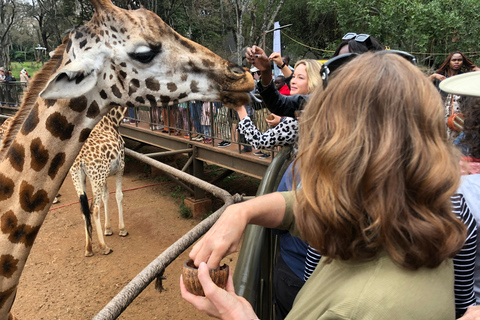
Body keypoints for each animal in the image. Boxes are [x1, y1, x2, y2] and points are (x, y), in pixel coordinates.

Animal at [69, 106, 126, 256]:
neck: (113, 120)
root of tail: (80, 159)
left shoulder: (105, 175)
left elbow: (106, 197)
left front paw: (108, 229)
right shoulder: (121, 168)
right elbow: (119, 195)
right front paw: (122, 230)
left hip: (78, 178)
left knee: (83, 209)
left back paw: (88, 248)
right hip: (96, 178)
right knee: (94, 208)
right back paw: (104, 247)